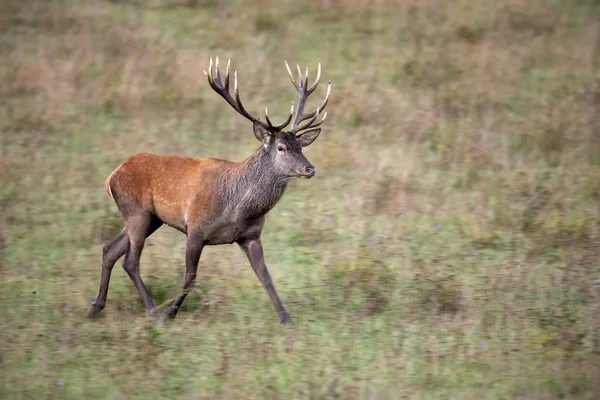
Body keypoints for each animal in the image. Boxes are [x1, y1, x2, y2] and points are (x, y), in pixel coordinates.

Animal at [88, 56, 332, 324]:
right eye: (281, 148)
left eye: (301, 146)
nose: (310, 168)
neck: (237, 209)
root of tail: (112, 176)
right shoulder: (195, 229)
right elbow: (190, 278)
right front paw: (170, 313)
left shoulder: (251, 236)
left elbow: (266, 278)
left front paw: (286, 319)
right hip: (136, 211)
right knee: (130, 261)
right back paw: (153, 310)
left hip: (151, 218)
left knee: (109, 250)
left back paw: (95, 307)